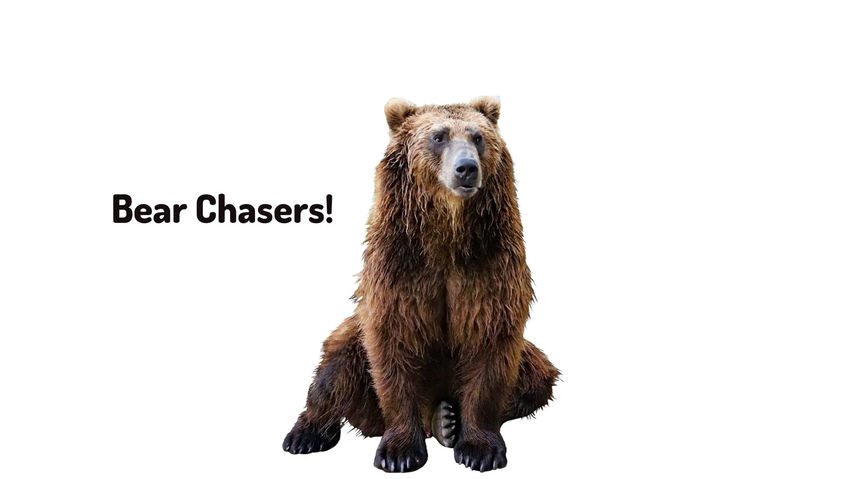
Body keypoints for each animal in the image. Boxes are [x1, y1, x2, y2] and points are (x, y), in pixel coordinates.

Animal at [282, 97, 559, 473]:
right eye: (439, 137)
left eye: (477, 137)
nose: (466, 168)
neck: (447, 234)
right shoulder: (400, 269)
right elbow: (394, 344)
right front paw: (399, 453)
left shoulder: (489, 266)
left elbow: (489, 342)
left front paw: (479, 449)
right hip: (353, 343)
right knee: (334, 370)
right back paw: (306, 434)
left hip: (529, 362)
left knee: (537, 378)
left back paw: (446, 421)